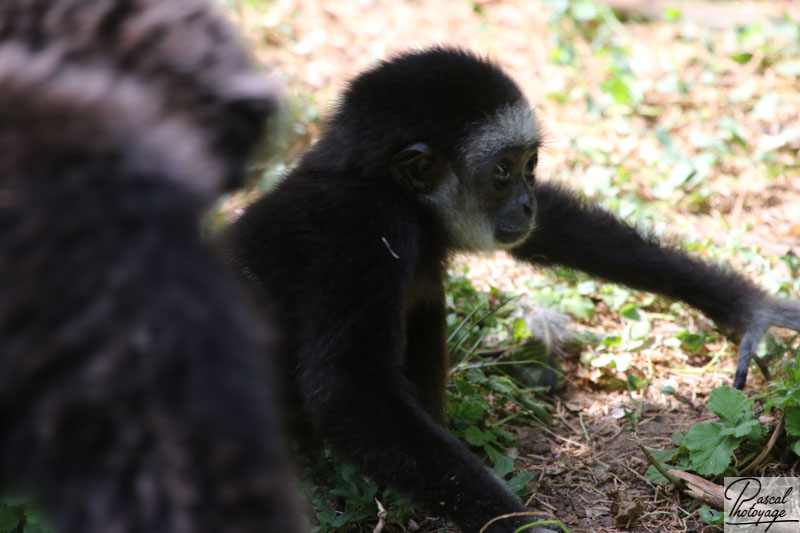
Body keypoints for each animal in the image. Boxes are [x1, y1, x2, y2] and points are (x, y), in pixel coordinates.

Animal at [223, 47, 800, 528]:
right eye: (503, 171)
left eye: (531, 166)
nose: (525, 201)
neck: (374, 183)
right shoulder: (367, 230)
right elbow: (347, 393)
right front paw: (519, 525)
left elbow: (551, 229)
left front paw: (743, 305)